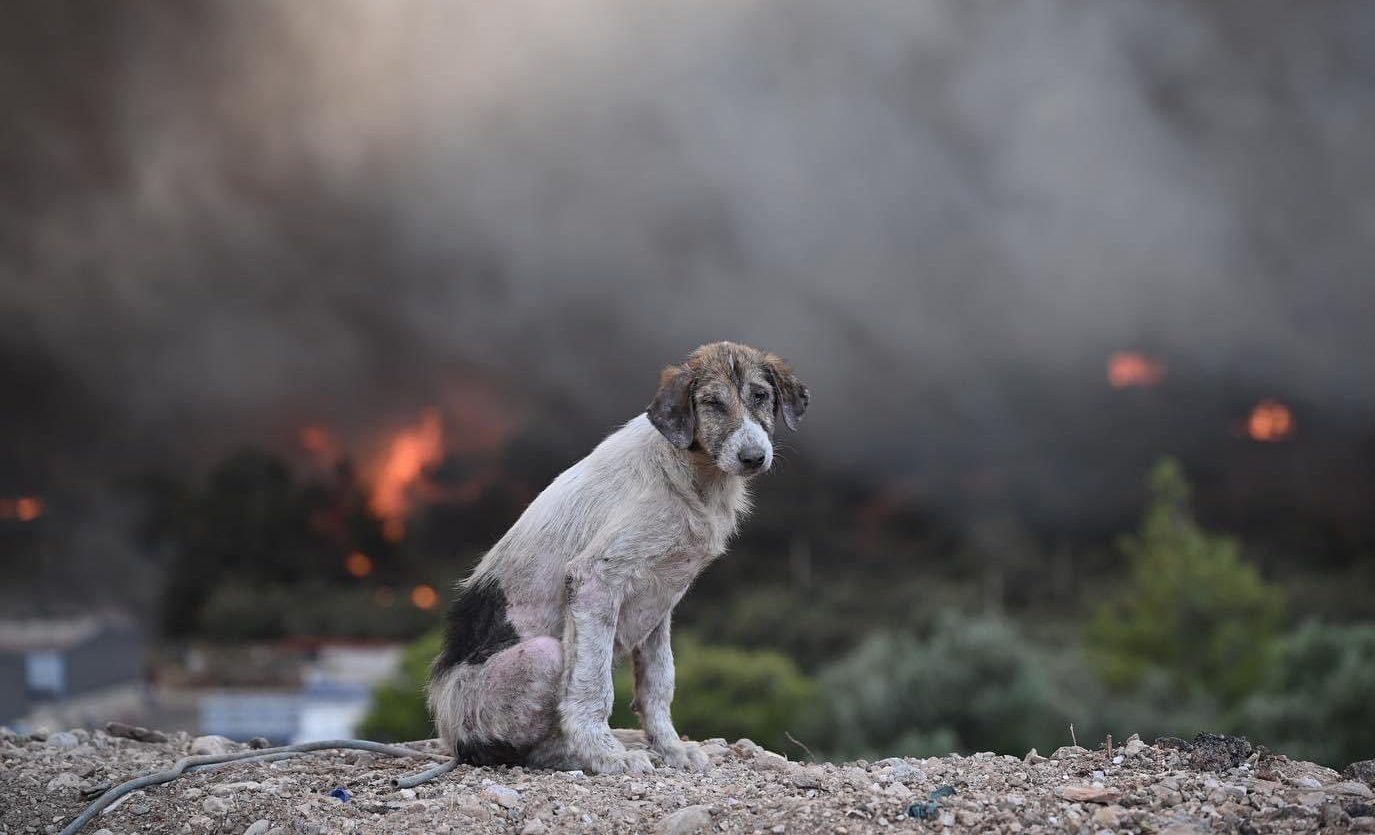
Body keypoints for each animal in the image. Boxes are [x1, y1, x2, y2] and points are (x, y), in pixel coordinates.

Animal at [426, 341, 803, 775]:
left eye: (760, 396)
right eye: (712, 403)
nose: (753, 457)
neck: (692, 472)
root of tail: (452, 737)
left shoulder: (661, 600)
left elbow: (659, 683)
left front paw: (672, 749)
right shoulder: (595, 579)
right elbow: (592, 686)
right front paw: (607, 756)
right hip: (542, 656)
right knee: (528, 750)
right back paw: (579, 755)